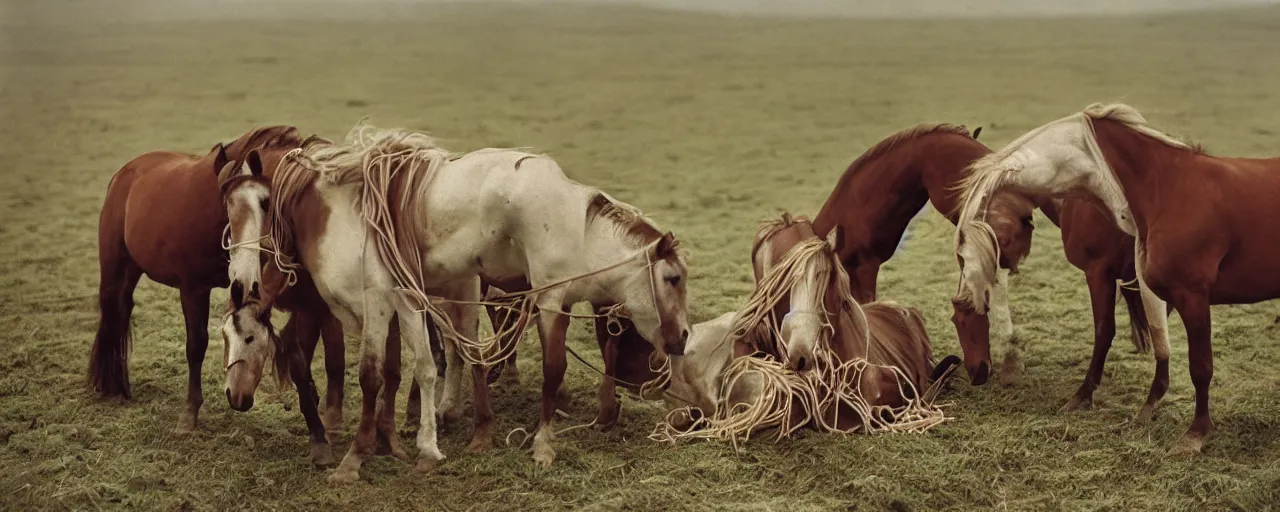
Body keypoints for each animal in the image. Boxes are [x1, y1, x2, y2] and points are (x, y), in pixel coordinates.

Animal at [88, 124, 303, 432]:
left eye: (266, 202)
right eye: (227, 201)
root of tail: (125, 173)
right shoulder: (193, 289)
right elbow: (196, 345)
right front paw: (190, 413)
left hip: (132, 269)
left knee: (123, 310)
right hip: (114, 267)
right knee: (112, 313)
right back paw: (109, 385)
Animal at [220, 124, 691, 481]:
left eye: (263, 202)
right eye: (226, 202)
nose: (684, 337)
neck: (331, 210)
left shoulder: (379, 300)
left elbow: (377, 374)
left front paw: (357, 457)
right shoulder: (403, 299)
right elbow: (408, 367)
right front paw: (399, 443)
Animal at [952, 103, 1280, 453]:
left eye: (965, 319)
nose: (976, 373)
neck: (1169, 189)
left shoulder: (1185, 294)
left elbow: (1196, 364)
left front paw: (1196, 433)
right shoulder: (1152, 289)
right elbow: (1159, 342)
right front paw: (1148, 408)